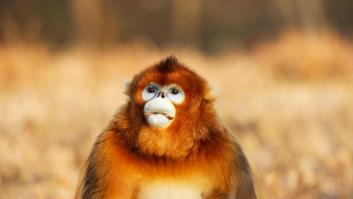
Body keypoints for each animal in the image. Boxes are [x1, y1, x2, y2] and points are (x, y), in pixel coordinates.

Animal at [74, 56, 256, 199]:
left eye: (174, 92)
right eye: (151, 89)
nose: (160, 95)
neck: (167, 156)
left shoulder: (228, 152)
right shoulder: (107, 147)